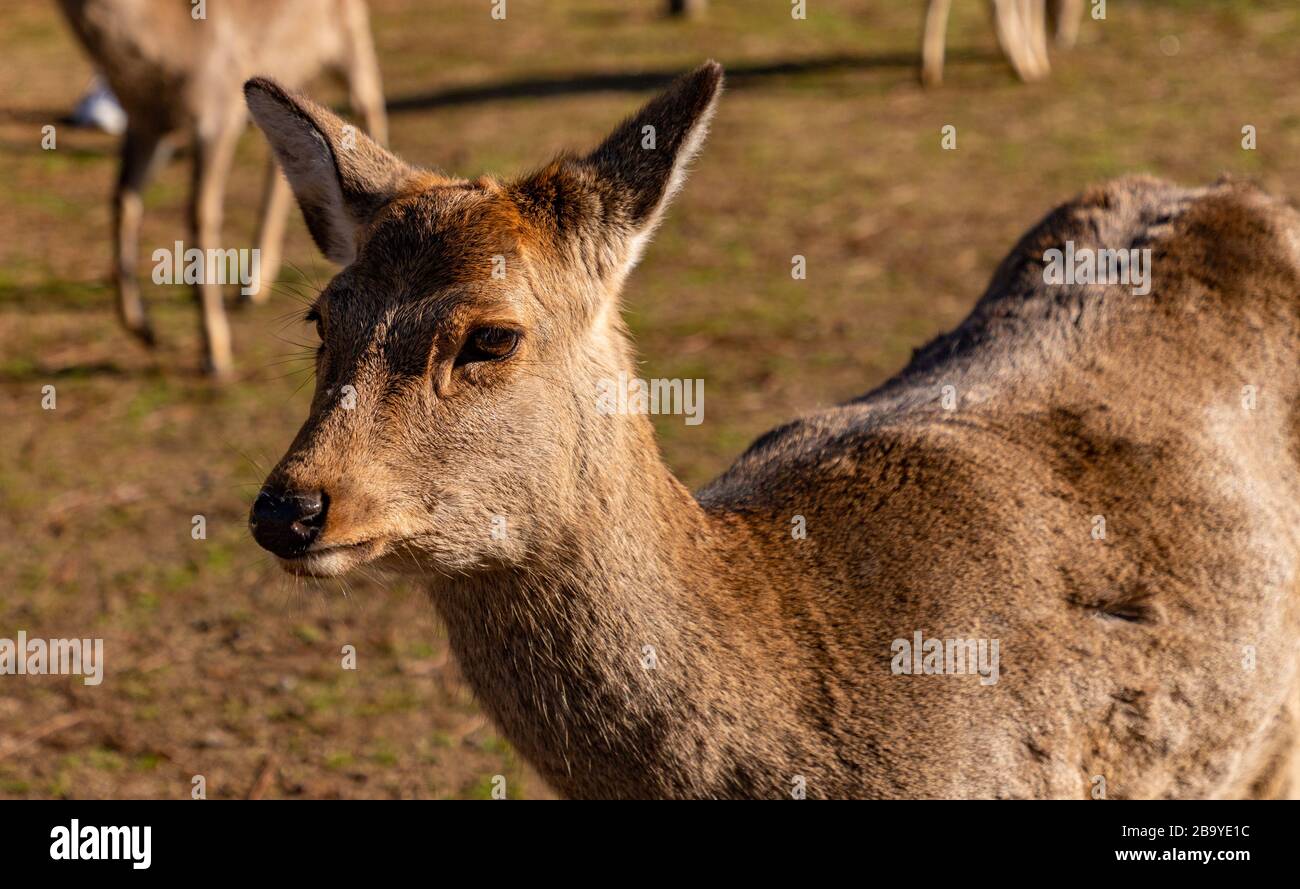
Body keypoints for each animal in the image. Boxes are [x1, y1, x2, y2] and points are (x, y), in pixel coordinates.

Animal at [54, 0, 384, 376]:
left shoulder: (218, 112)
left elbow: (199, 215)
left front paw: (216, 353)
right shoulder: (145, 124)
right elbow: (122, 199)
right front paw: (142, 329)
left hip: (351, 41)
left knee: (371, 111)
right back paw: (252, 287)